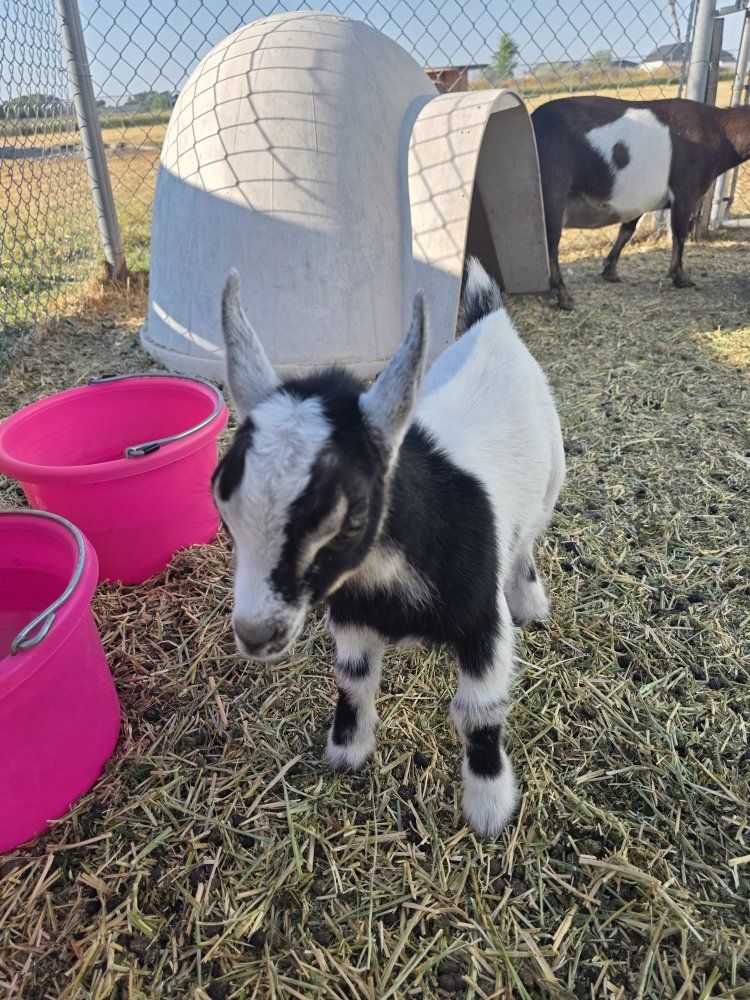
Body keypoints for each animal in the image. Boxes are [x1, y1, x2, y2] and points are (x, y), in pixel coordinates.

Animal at [212, 260, 565, 837]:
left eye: (351, 519)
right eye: (223, 506)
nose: (256, 634)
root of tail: (491, 322)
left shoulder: (484, 624)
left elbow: (479, 711)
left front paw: (489, 809)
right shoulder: (351, 615)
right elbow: (353, 679)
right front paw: (347, 751)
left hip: (551, 479)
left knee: (527, 541)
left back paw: (532, 602)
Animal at [531, 95, 750, 309]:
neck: (718, 131)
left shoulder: (637, 201)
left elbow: (626, 232)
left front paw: (610, 272)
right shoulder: (684, 192)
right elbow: (679, 235)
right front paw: (681, 278)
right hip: (553, 190)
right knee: (551, 243)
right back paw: (564, 297)